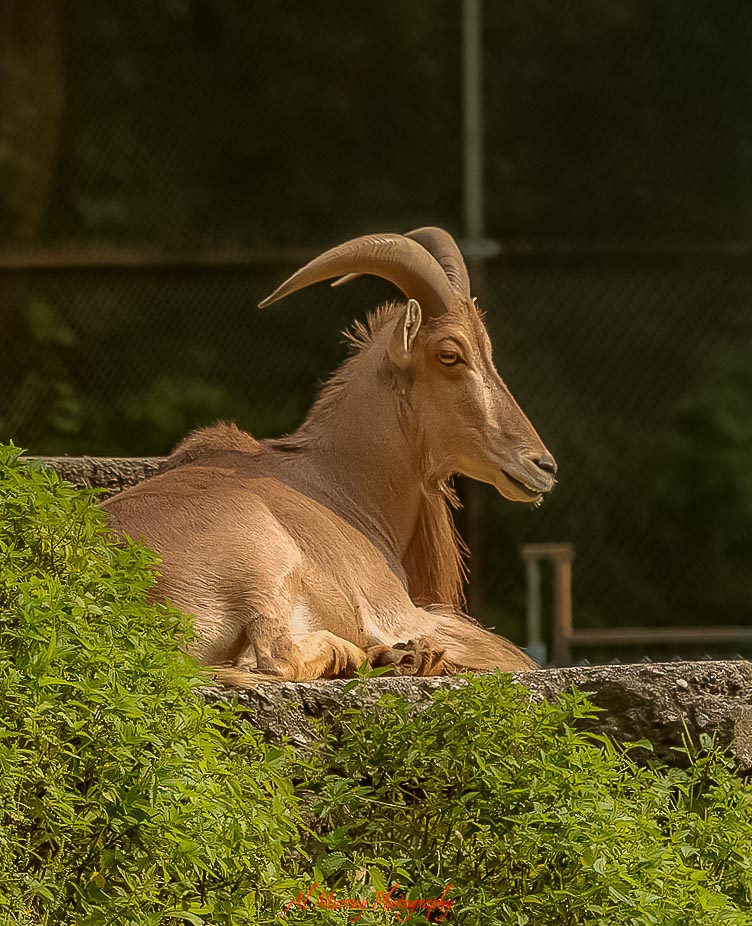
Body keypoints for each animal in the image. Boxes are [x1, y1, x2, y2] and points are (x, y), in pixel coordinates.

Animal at [103, 228, 557, 682]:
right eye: (450, 354)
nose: (543, 466)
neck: (345, 486)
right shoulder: (401, 612)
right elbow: (510, 655)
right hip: (264, 562)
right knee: (277, 655)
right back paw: (390, 656)